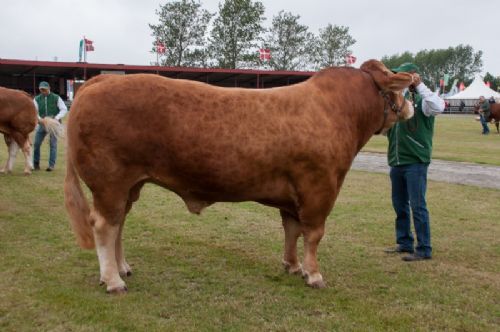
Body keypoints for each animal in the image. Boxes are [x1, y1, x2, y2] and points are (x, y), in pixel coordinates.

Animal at [65, 59, 414, 294]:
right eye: (398, 90)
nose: (411, 106)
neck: (336, 110)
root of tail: (100, 79)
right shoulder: (320, 187)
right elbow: (313, 234)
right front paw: (313, 274)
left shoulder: (294, 194)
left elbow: (292, 230)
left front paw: (292, 265)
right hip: (110, 181)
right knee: (105, 225)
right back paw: (112, 280)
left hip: (129, 185)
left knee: (119, 223)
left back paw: (122, 268)